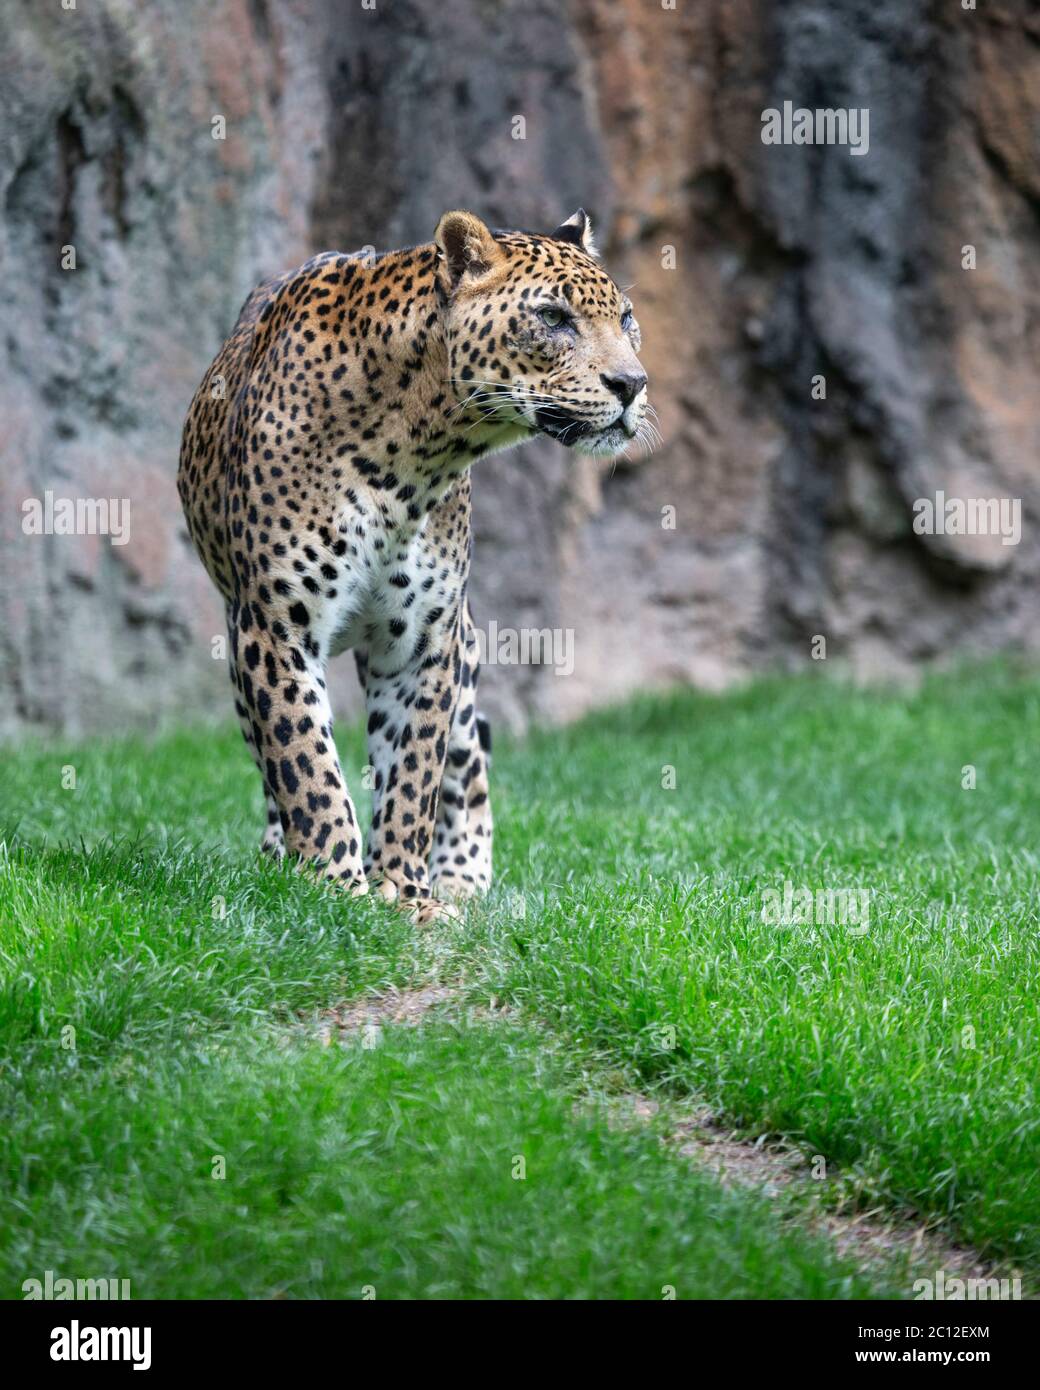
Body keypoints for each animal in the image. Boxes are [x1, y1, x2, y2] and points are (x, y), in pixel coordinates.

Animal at [177, 207, 649, 925]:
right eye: (553, 317)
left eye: (626, 319)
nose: (632, 385)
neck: (412, 455)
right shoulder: (274, 628)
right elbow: (305, 763)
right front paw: (335, 887)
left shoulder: (425, 641)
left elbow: (414, 773)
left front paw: (404, 892)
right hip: (237, 649)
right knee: (267, 757)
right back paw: (279, 856)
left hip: (465, 648)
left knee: (469, 763)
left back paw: (462, 879)